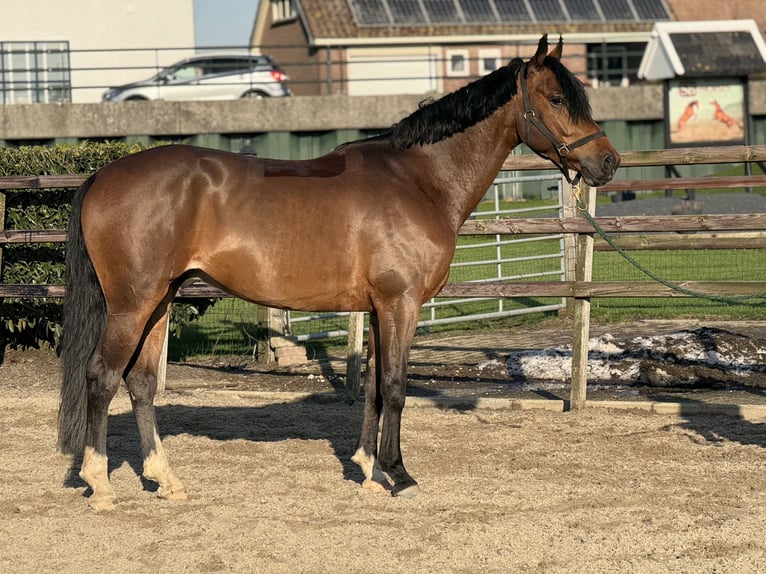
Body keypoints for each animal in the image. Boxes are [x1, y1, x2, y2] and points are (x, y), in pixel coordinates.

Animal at [57, 35, 619, 511]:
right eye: (555, 99)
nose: (609, 162)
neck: (418, 181)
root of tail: (104, 174)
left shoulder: (377, 309)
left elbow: (372, 385)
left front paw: (369, 470)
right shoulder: (401, 304)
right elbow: (395, 385)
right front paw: (400, 475)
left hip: (160, 300)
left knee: (142, 382)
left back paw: (166, 479)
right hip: (131, 305)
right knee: (101, 377)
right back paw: (100, 484)